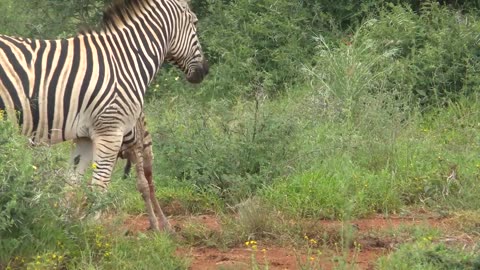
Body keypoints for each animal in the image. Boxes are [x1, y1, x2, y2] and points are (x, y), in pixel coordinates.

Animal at [0, 0, 209, 231]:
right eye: (195, 22)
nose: (205, 70)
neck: (125, 60)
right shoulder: (110, 131)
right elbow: (100, 184)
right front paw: (95, 228)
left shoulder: (84, 137)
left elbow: (72, 183)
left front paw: (68, 227)